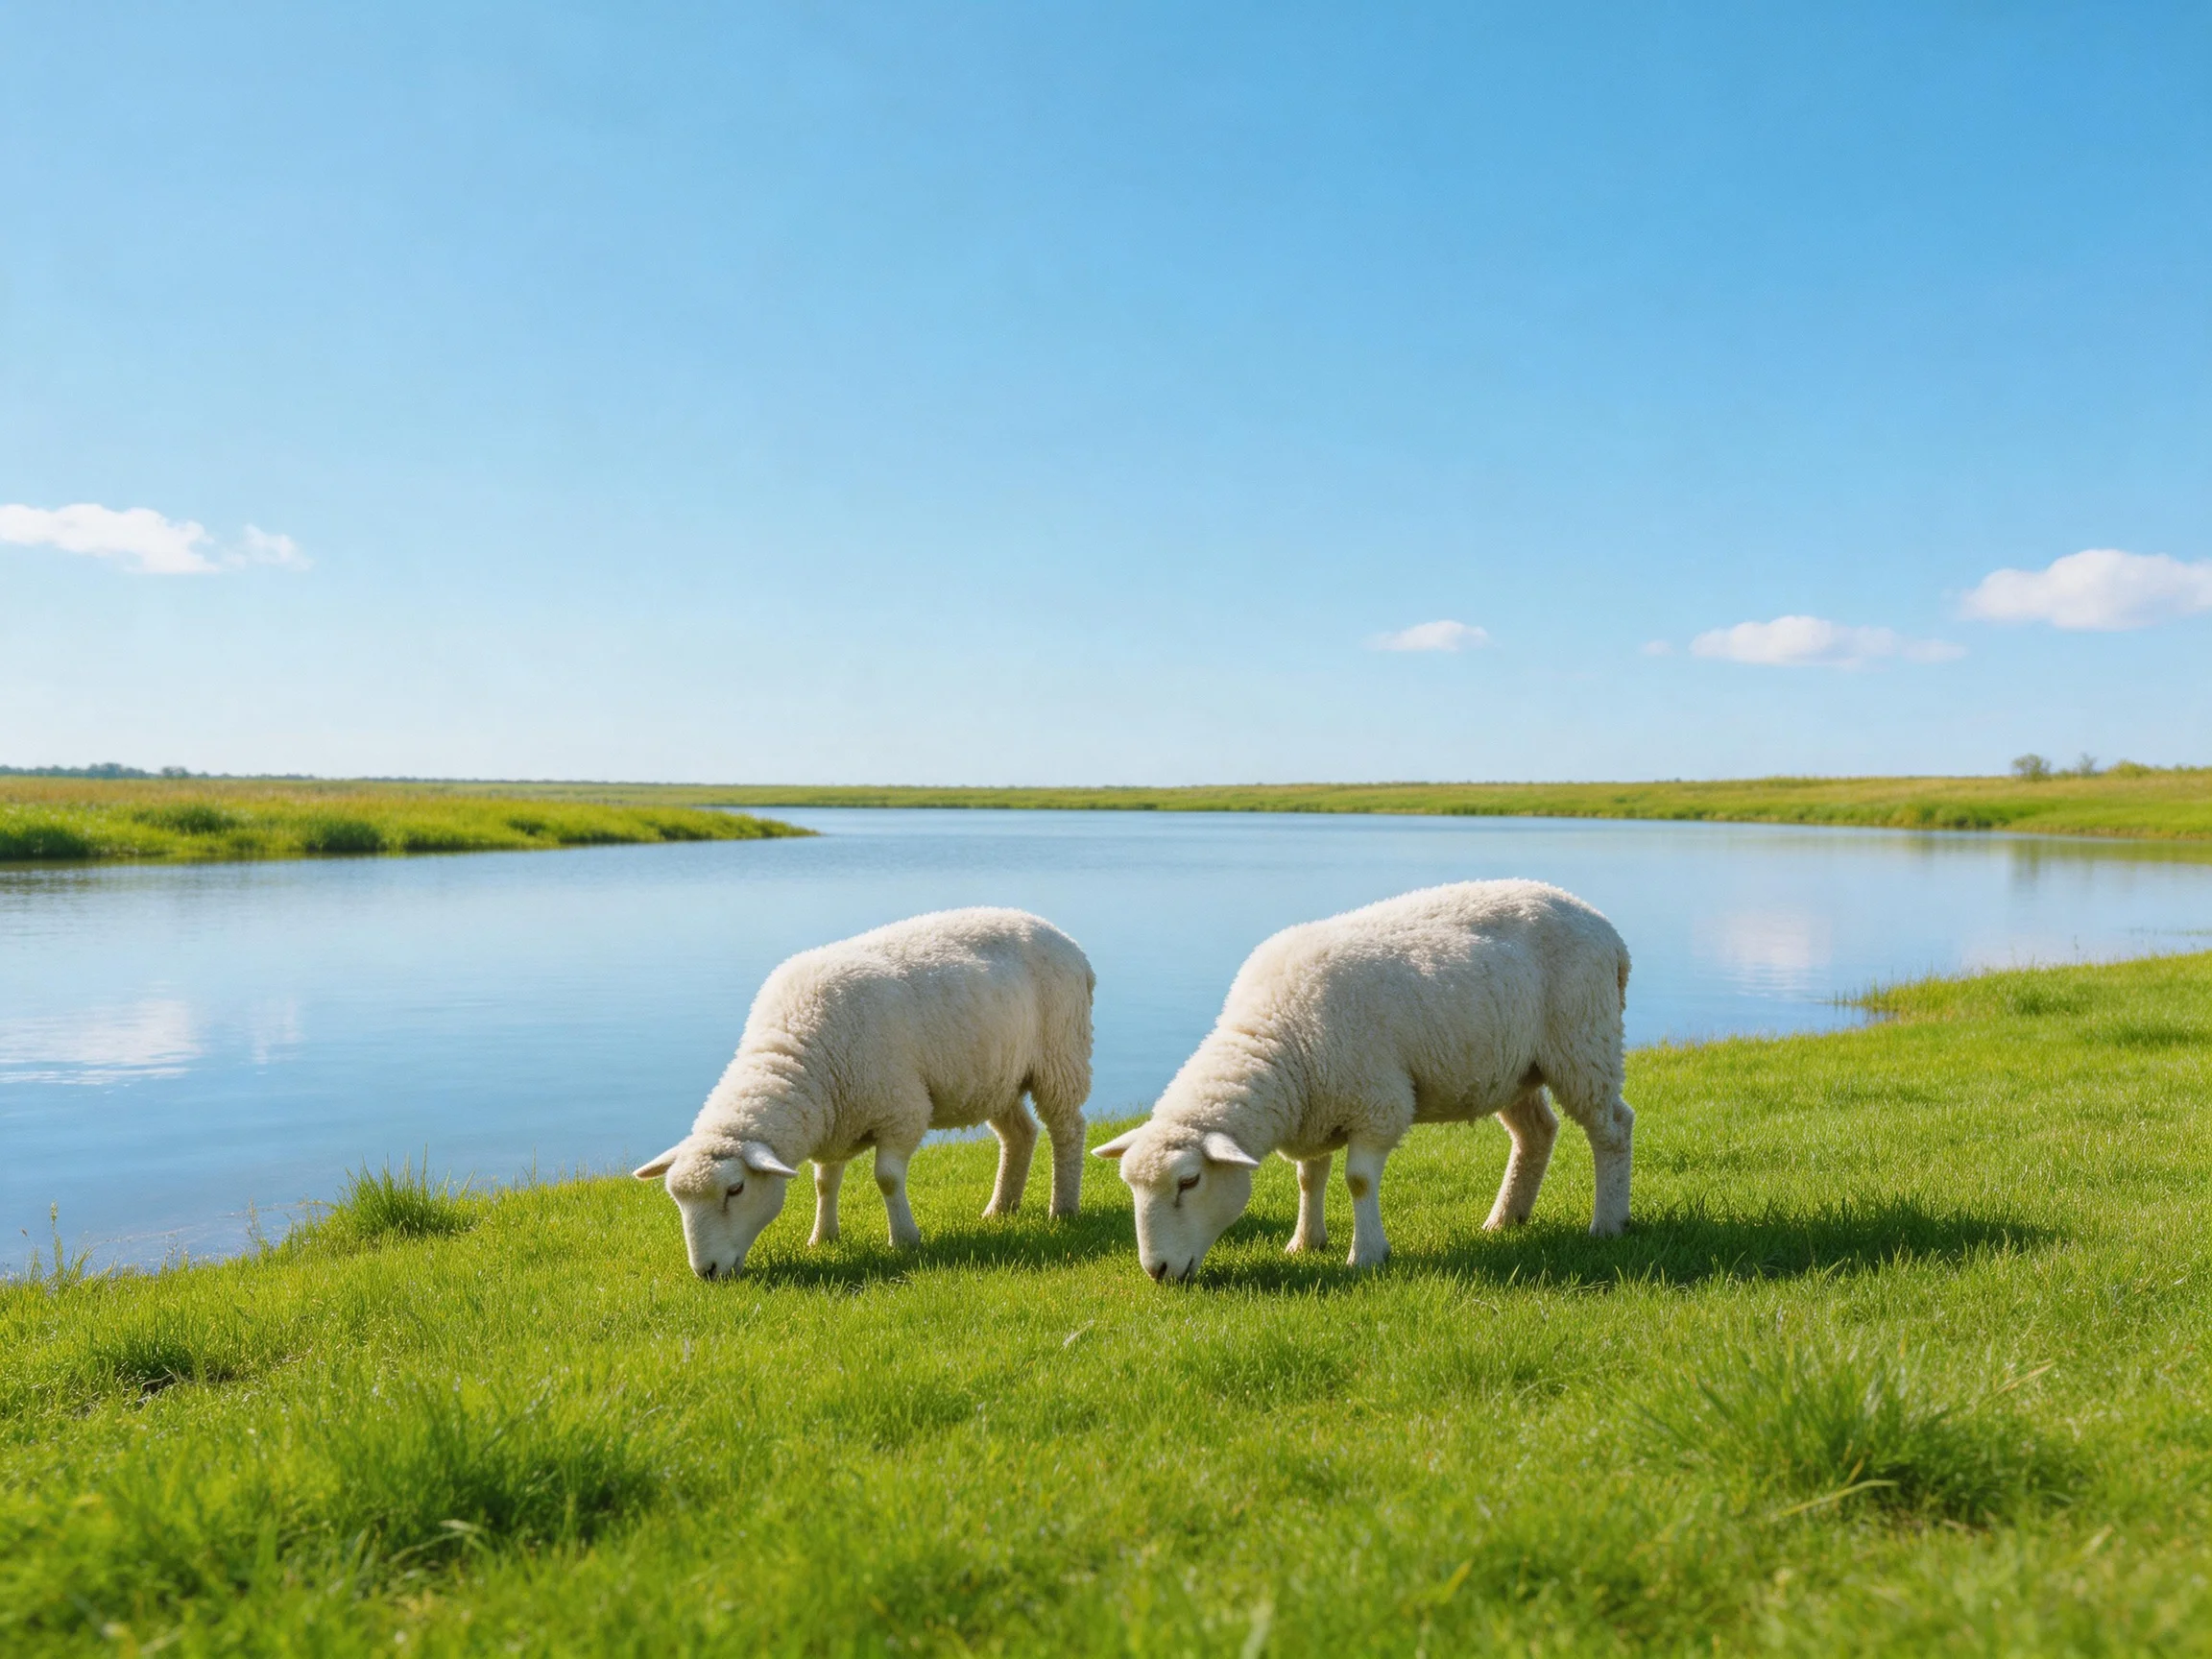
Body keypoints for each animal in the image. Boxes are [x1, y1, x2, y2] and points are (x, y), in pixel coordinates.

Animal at [634, 907, 1094, 1278]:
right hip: (995, 1078)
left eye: (735, 1190)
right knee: (1020, 1134)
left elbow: (887, 1179)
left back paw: (1062, 1209)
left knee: (1067, 1129)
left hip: (1060, 1055)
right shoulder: (835, 1118)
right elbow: (825, 1182)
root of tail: (1062, 936)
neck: (800, 1053)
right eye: (677, 1198)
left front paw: (905, 1239)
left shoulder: (902, 1110)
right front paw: (823, 1237)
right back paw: (1001, 1209)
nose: (707, 1271)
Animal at [1094, 880, 1633, 1283]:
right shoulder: (1316, 1109)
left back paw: (1608, 1223)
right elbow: (1309, 1178)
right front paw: (1304, 1242)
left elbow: (1357, 1181)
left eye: (1189, 1181)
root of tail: (1605, 928)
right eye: (1130, 1186)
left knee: (1612, 1128)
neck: (1281, 1036)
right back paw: (1505, 1219)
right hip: (1514, 1065)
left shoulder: (1377, 1103)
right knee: (1535, 1133)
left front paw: (1367, 1254)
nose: (1158, 1271)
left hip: (1583, 1040)